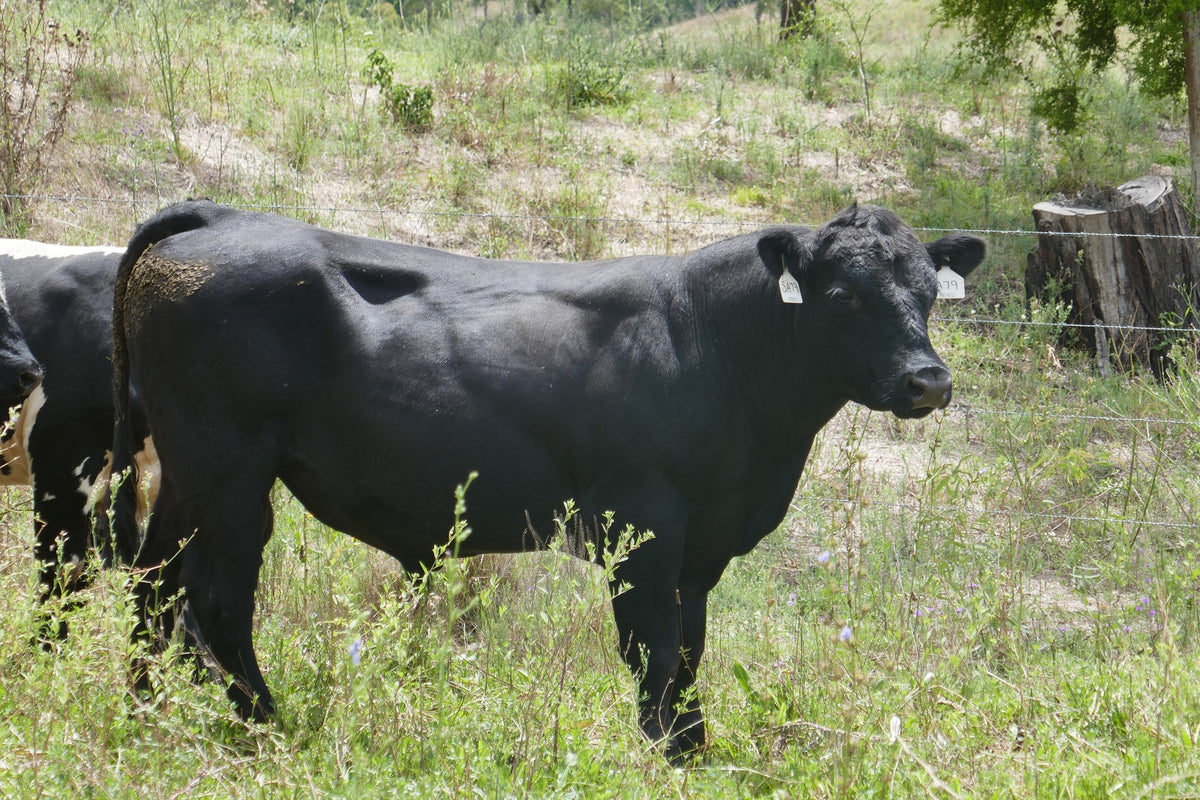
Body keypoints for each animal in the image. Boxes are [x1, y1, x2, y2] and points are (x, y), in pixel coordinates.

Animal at [111, 199, 984, 760]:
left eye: (928, 294)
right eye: (842, 295)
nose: (928, 381)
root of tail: (224, 215)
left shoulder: (701, 549)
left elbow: (690, 650)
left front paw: (696, 751)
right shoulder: (643, 530)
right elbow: (653, 650)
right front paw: (665, 754)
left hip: (186, 473)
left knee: (154, 582)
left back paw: (146, 706)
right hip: (230, 472)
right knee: (216, 597)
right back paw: (267, 727)